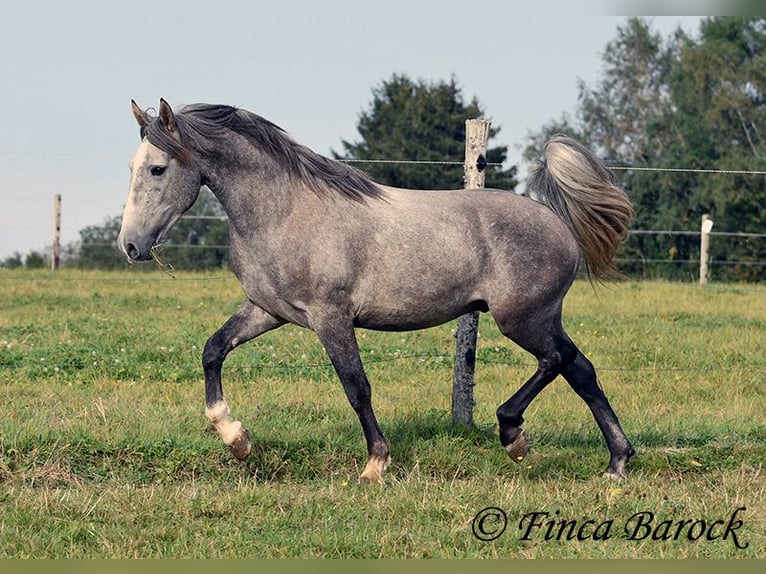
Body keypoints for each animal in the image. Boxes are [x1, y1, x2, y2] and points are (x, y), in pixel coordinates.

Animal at [118, 100, 636, 486]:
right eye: (133, 167)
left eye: (158, 169)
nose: (130, 245)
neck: (285, 212)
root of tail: (559, 223)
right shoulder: (268, 310)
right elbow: (212, 350)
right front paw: (236, 438)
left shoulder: (331, 317)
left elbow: (356, 386)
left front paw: (375, 465)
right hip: (542, 318)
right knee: (581, 370)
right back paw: (616, 462)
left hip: (522, 319)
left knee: (556, 361)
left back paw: (513, 434)